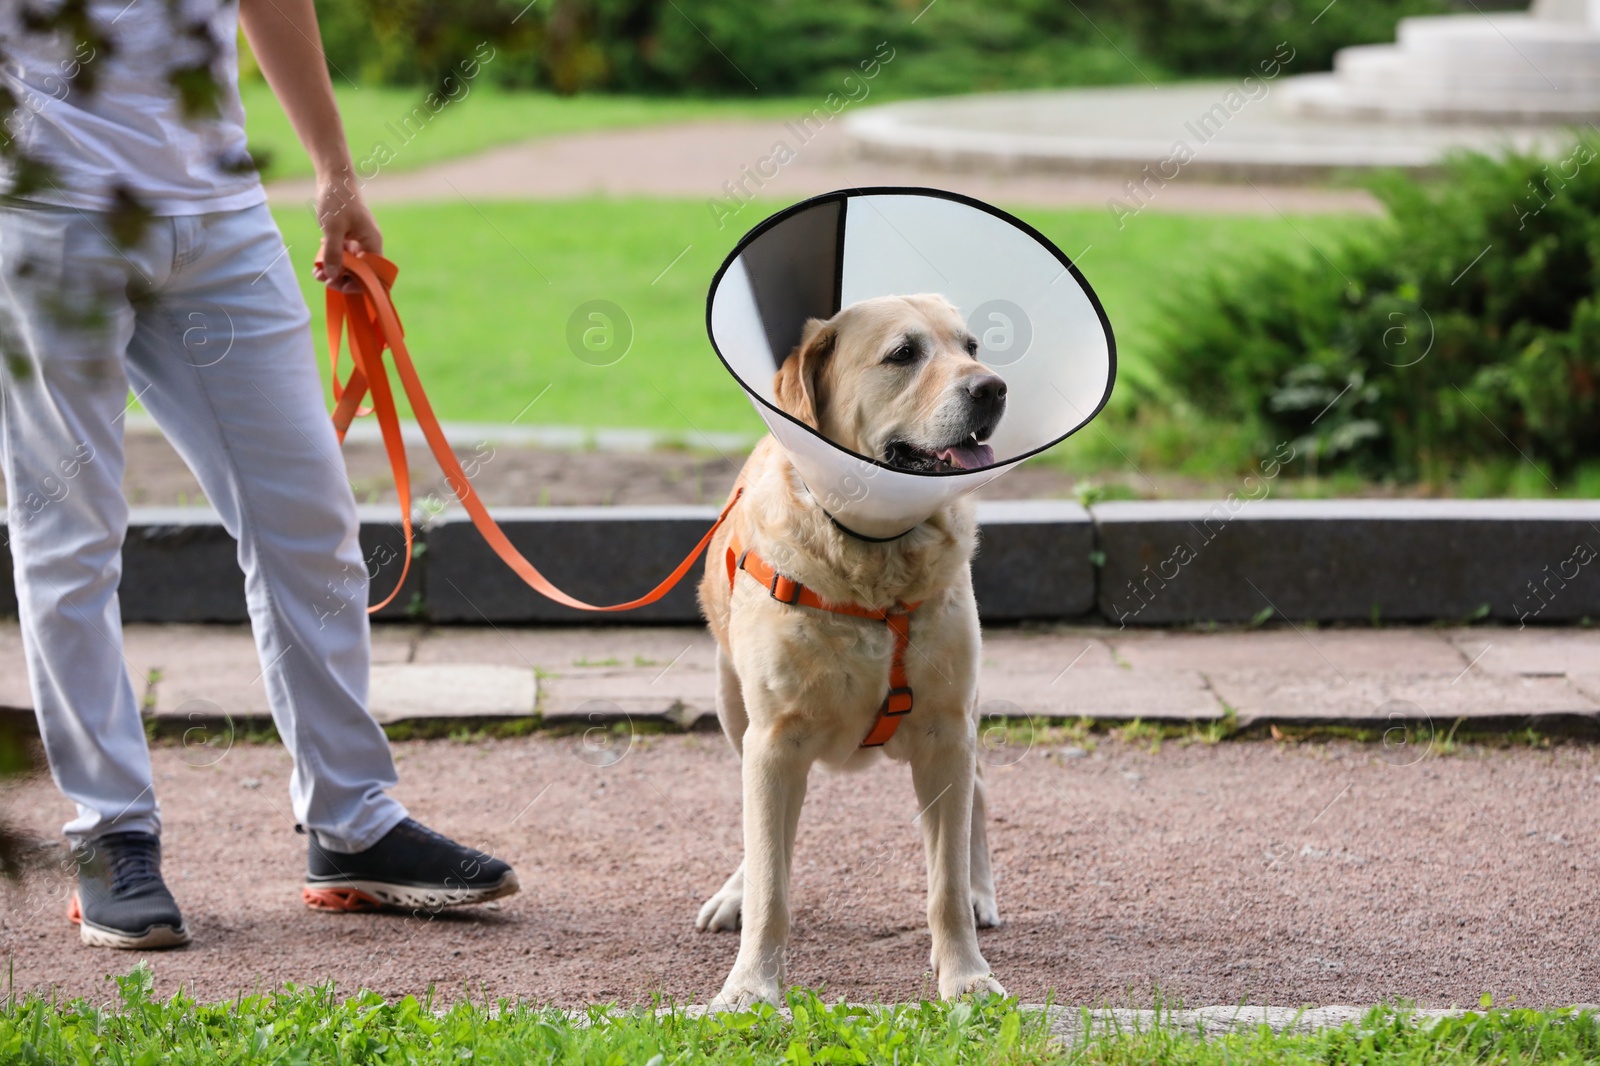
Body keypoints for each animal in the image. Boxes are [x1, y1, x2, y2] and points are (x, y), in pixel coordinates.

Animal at [697, 291, 1004, 1005]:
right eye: (904, 353)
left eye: (972, 347)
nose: (993, 388)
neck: (872, 553)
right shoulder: (774, 740)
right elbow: (771, 886)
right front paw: (752, 989)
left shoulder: (945, 732)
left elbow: (943, 886)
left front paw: (966, 977)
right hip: (732, 705)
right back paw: (735, 893)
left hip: (963, 715)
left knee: (976, 794)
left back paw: (981, 890)